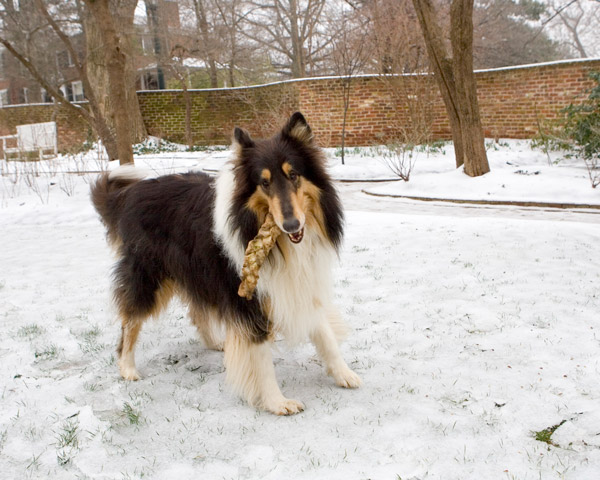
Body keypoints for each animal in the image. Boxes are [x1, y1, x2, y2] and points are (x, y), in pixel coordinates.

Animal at [91, 112, 361, 415]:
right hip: (149, 276)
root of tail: (129, 195)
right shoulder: (247, 298)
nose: (292, 225)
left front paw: (345, 374)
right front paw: (276, 402)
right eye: (264, 183)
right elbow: (261, 358)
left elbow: (325, 335)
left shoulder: (299, 281)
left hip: (197, 270)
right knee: (130, 320)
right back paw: (127, 368)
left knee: (197, 311)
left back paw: (215, 343)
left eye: (293, 175)